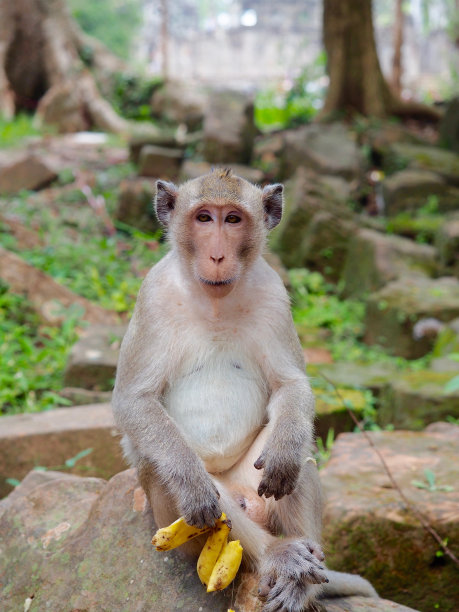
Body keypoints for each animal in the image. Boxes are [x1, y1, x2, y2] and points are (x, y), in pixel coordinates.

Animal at [112, 169, 378, 612]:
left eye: (233, 220)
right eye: (204, 218)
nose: (218, 256)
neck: (215, 298)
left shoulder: (275, 294)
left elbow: (291, 385)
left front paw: (286, 450)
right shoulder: (151, 296)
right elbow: (134, 401)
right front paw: (192, 482)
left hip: (253, 480)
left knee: (296, 454)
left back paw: (302, 578)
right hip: (175, 526)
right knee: (166, 470)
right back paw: (276, 555)